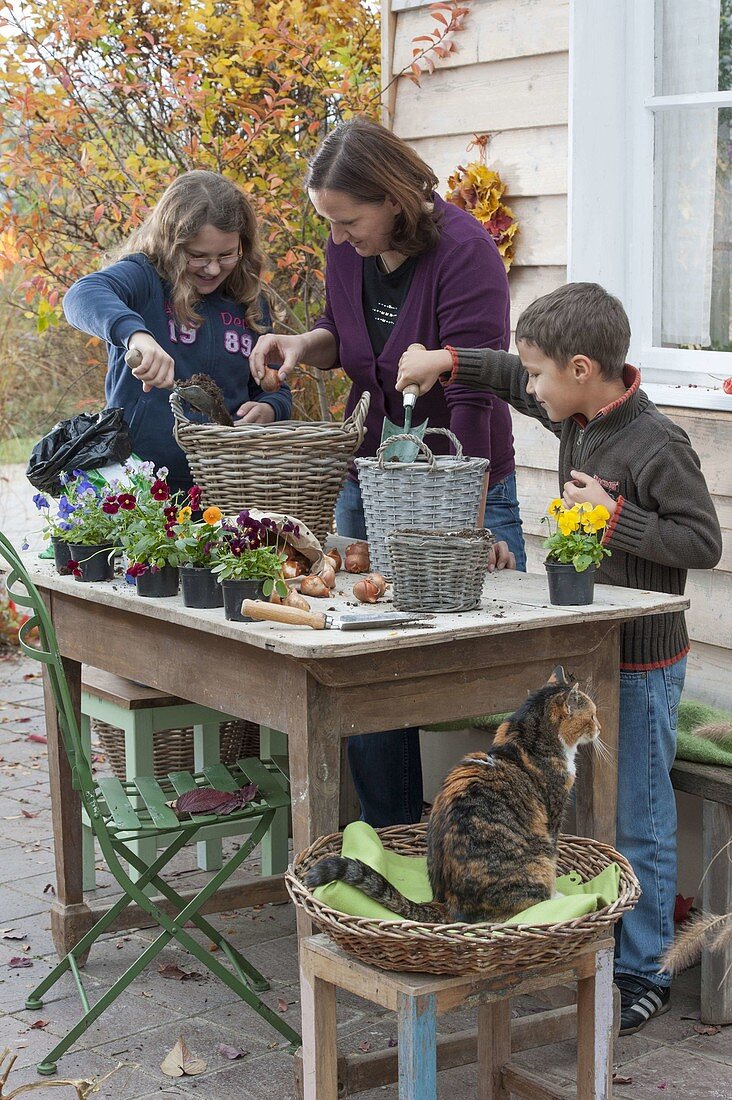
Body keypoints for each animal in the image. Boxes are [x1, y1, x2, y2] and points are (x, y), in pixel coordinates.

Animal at [306, 664, 603, 924]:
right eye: (592, 716)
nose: (600, 728)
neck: (527, 735)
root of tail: (447, 902)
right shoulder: (553, 815)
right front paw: (557, 894)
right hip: (537, 857)